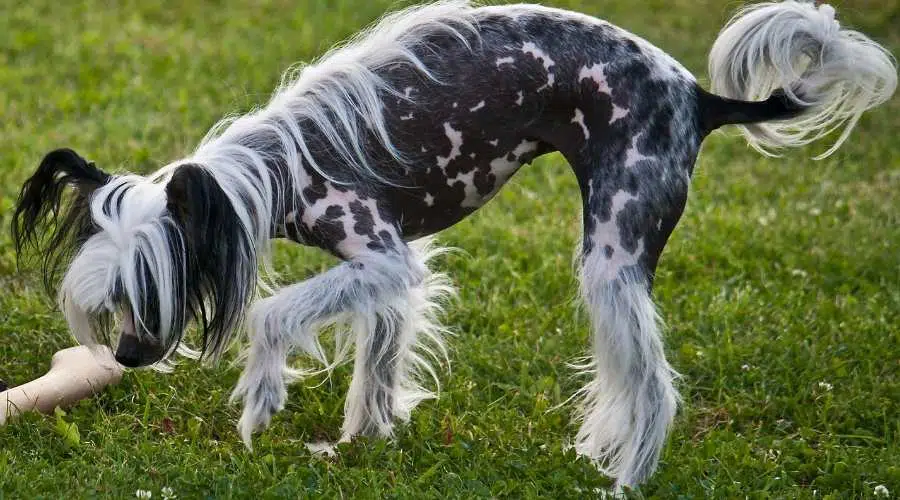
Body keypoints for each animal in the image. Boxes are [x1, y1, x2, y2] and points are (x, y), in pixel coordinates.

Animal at [10, 0, 896, 488]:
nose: (125, 359)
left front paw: (261, 401)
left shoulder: (382, 256)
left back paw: (625, 481)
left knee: (653, 386)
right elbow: (379, 359)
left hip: (611, 260)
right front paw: (360, 443)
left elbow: (270, 315)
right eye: (111, 306)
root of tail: (697, 95)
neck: (273, 167)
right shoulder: (387, 274)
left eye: (149, 292)